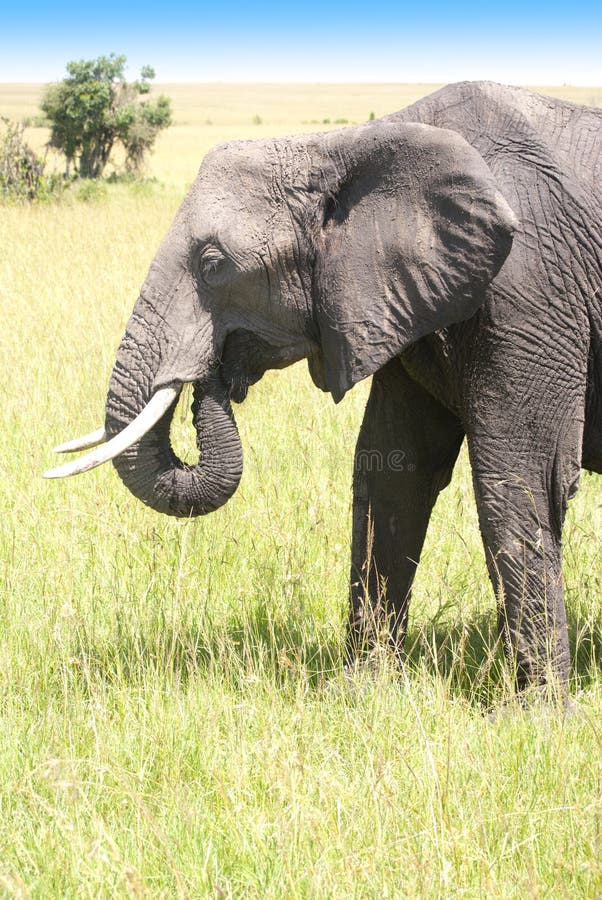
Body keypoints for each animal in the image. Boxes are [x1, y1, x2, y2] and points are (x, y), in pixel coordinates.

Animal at [47, 82, 600, 704]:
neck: (340, 147)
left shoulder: (529, 290)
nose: (209, 377)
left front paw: (536, 713)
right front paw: (363, 692)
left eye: (213, 265)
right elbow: (392, 472)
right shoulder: (397, 297)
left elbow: (521, 478)